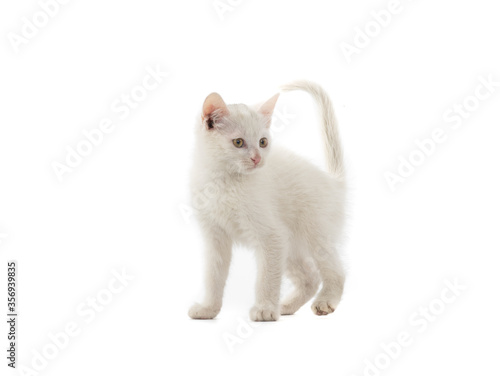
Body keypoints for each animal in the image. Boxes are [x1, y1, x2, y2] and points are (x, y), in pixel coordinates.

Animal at [188, 81, 348, 322]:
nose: (257, 158)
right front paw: (208, 309)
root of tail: (332, 182)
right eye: (238, 142)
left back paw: (324, 302)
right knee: (310, 277)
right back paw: (286, 306)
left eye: (263, 142)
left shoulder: (271, 235)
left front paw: (264, 309)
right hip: (289, 245)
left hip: (314, 232)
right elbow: (213, 276)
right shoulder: (215, 237)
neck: (223, 182)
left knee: (336, 271)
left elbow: (267, 277)